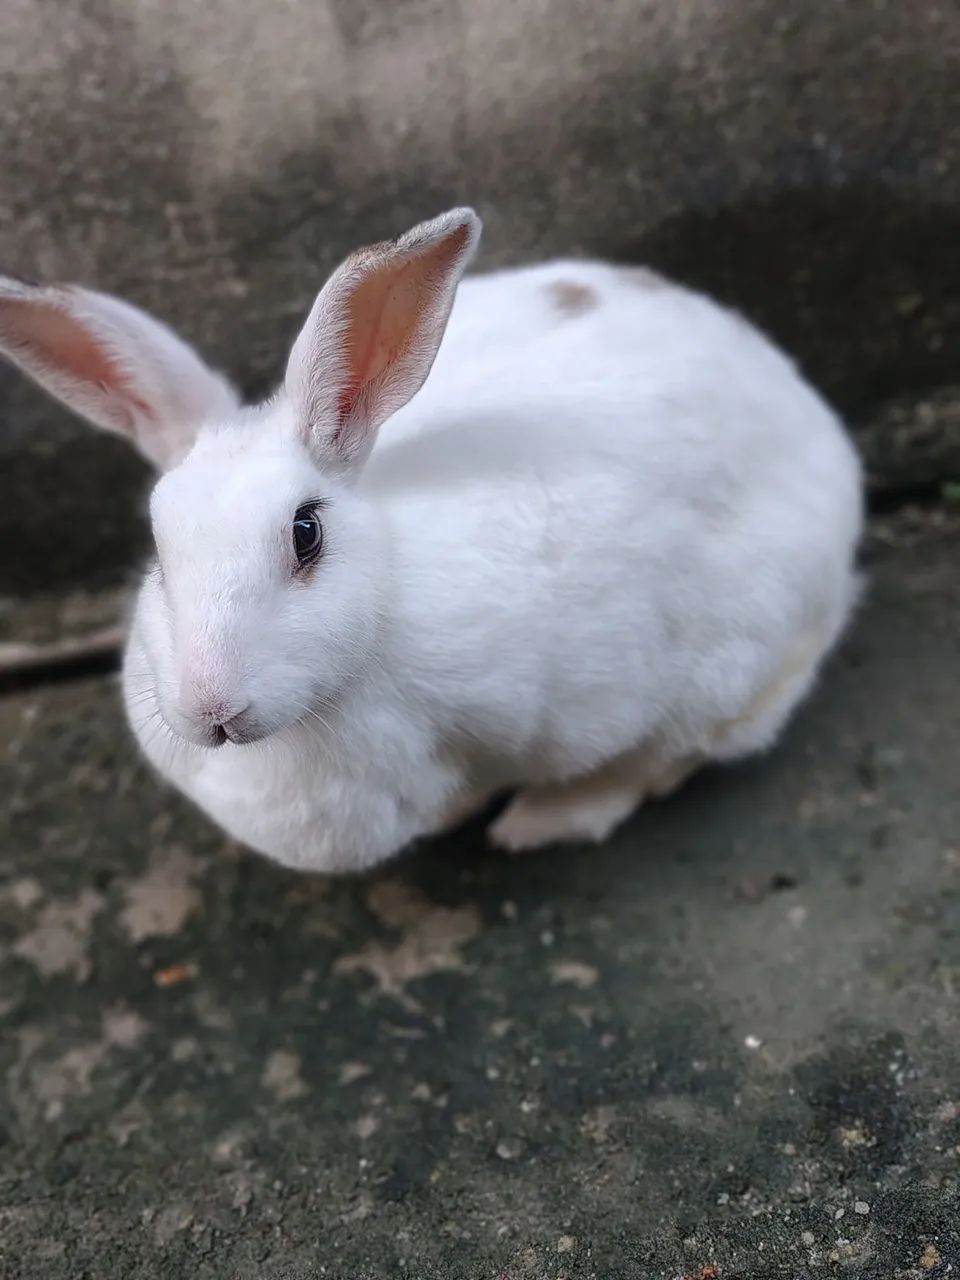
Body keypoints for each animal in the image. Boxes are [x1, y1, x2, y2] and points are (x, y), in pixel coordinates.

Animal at [0, 208, 862, 872]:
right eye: (158, 548)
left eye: (306, 533)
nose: (212, 709)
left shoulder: (660, 683)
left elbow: (641, 768)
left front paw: (546, 819)